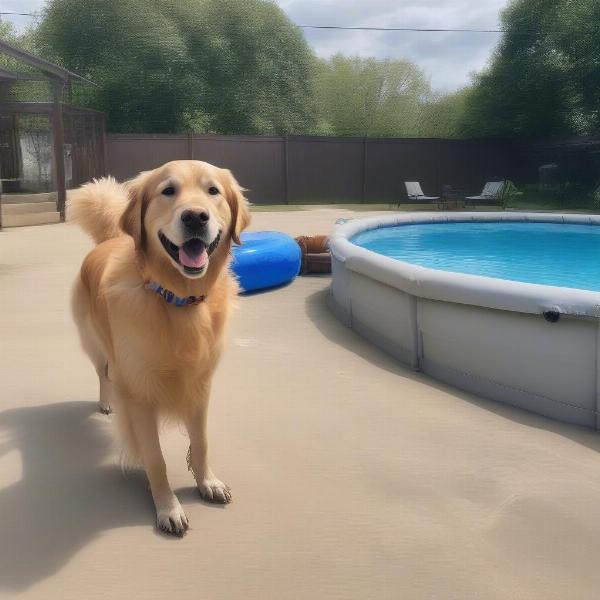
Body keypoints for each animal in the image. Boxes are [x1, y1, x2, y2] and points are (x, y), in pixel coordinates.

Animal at [68, 159, 251, 536]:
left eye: (213, 191)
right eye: (168, 191)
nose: (195, 217)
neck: (177, 301)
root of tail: (110, 238)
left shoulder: (200, 384)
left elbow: (201, 443)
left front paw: (207, 482)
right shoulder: (139, 393)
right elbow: (155, 458)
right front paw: (168, 506)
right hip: (94, 343)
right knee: (104, 373)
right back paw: (106, 402)